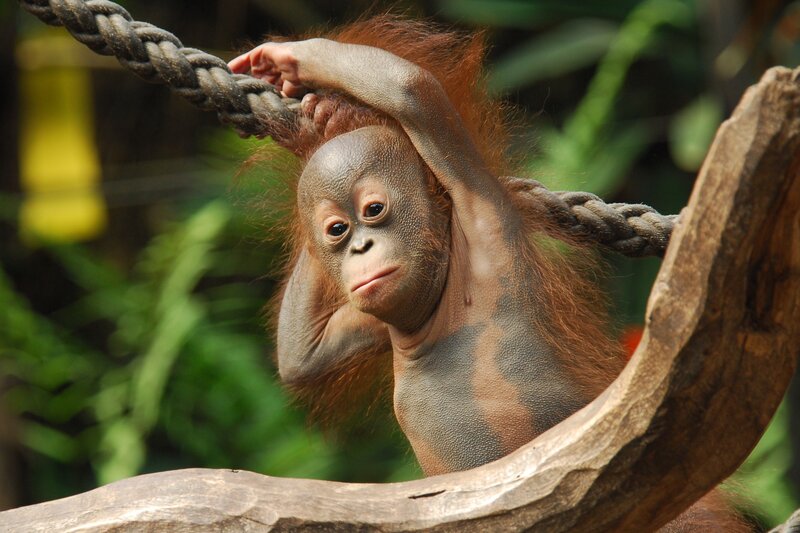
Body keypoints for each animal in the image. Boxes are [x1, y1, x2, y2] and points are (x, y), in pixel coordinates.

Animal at [229, 17, 748, 531]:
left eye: (373, 210)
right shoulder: (371, 316)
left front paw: (291, 59)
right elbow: (304, 354)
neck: (436, 304)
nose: (361, 246)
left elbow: (413, 92)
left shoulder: (480, 211)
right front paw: (323, 122)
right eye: (337, 230)